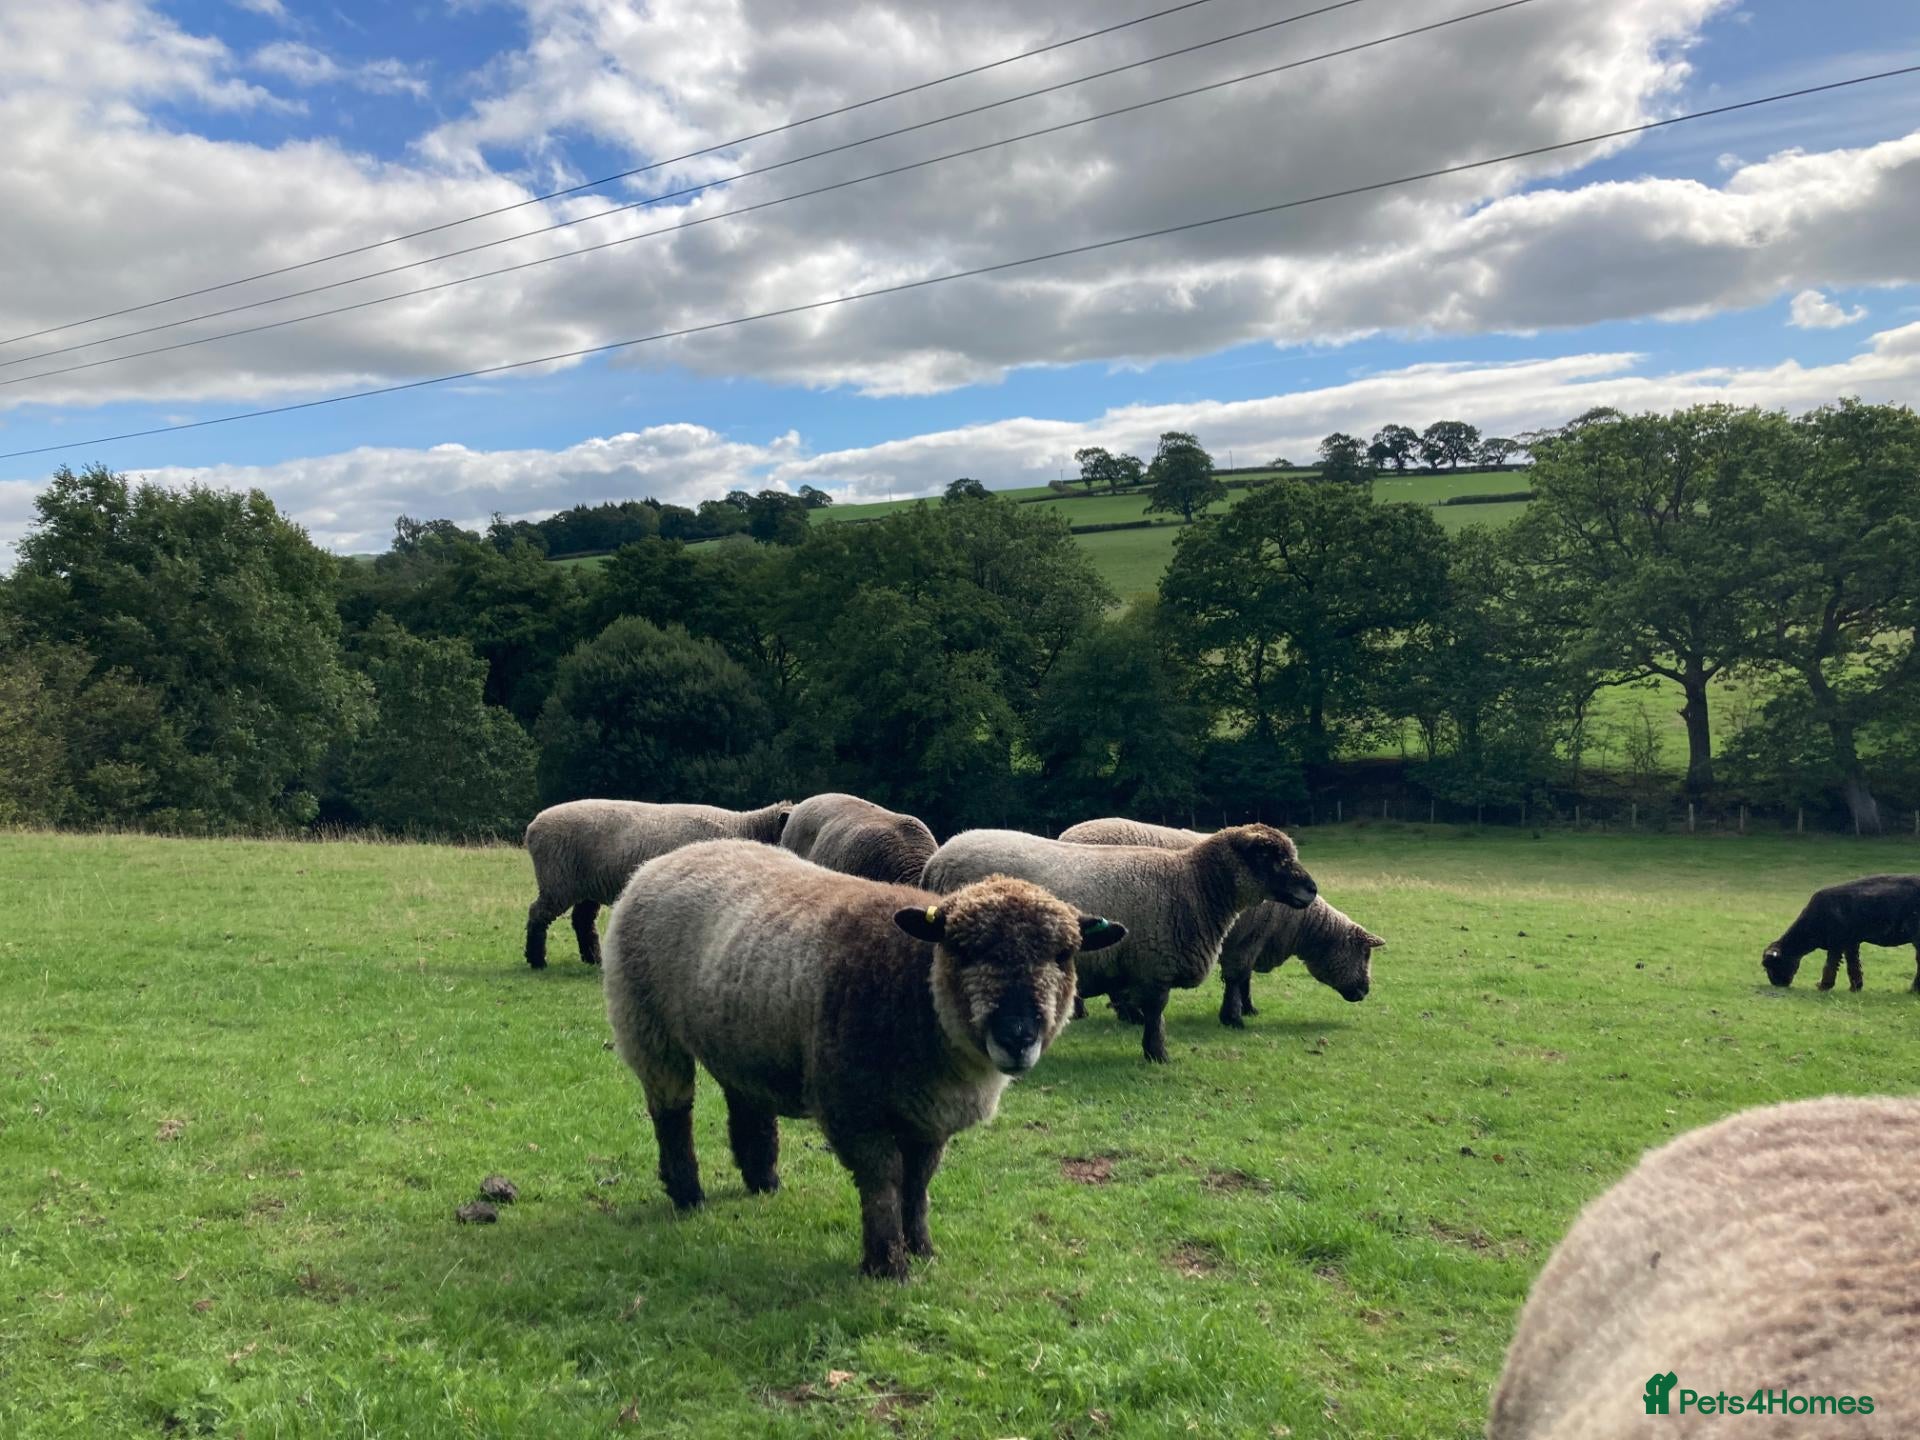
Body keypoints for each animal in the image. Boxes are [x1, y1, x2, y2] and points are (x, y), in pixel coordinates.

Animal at [523, 799, 790, 969]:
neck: (745, 828)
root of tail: (533, 826)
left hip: (587, 886)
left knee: (582, 921)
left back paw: (593, 959)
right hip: (557, 880)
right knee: (538, 914)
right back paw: (537, 960)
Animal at [602, 838, 1126, 1280]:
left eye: (1065, 953)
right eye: (962, 949)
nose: (1017, 1037)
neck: (913, 987)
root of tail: (666, 858)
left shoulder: (929, 1114)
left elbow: (917, 1183)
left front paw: (922, 1249)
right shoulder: (853, 1108)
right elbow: (883, 1184)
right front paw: (887, 1265)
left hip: (742, 1034)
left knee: (745, 1099)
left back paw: (762, 1179)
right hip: (645, 1021)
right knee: (671, 1110)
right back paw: (687, 1194)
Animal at [920, 824, 1316, 1063]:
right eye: (1269, 856)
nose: (1312, 889)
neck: (1193, 886)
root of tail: (936, 860)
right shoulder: (1156, 964)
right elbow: (1156, 1012)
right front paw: (1157, 1053)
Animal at [1060, 818, 1382, 1025]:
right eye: (1364, 954)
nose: (1365, 991)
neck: (1297, 925)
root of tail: (1067, 834)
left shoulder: (1248, 939)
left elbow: (1245, 978)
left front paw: (1248, 1008)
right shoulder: (1248, 939)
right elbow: (1238, 977)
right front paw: (1234, 1016)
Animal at [1761, 873, 1920, 993]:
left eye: (1772, 965)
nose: (1777, 984)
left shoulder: (1836, 942)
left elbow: (1830, 964)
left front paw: (1824, 986)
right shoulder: (1851, 942)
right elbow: (1853, 965)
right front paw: (1855, 987)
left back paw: (1913, 989)